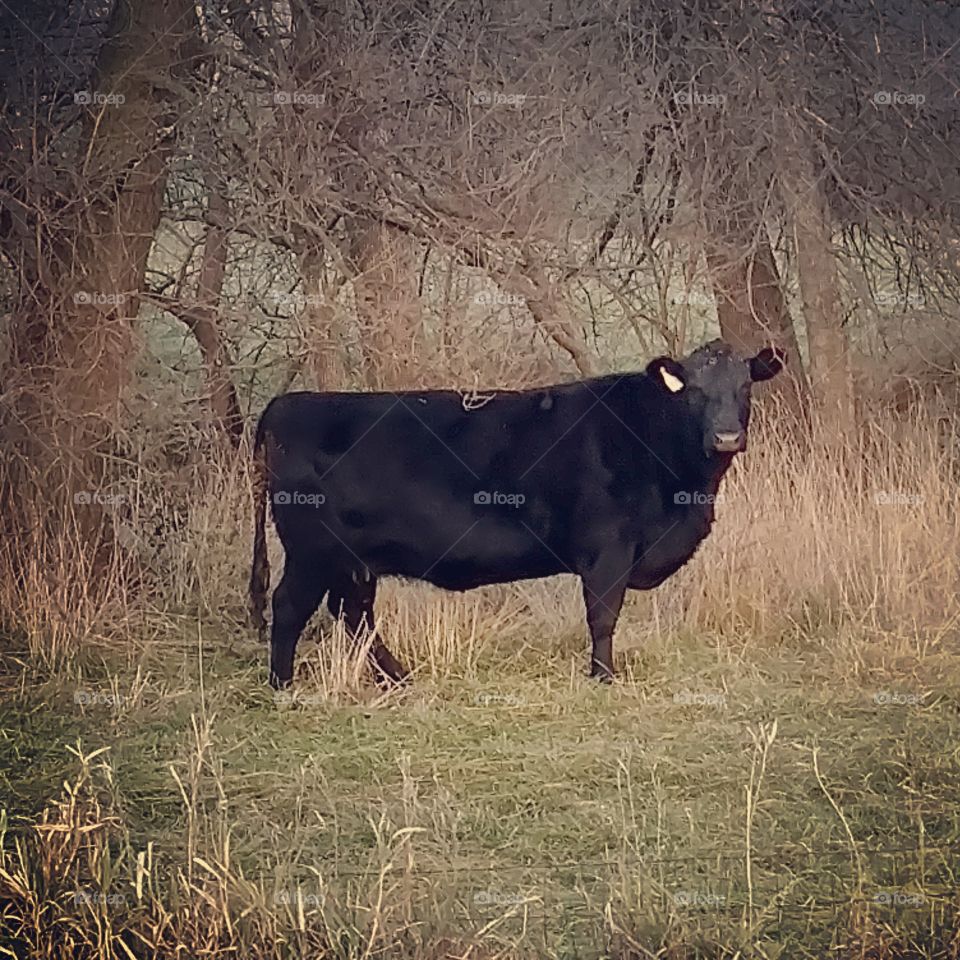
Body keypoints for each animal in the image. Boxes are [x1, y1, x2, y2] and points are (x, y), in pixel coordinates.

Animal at [249, 339, 785, 689]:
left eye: (745, 388)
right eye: (694, 390)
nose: (726, 437)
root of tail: (284, 405)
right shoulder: (608, 547)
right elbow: (603, 615)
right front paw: (603, 676)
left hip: (351, 558)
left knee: (353, 613)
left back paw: (398, 678)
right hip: (313, 551)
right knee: (291, 606)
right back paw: (283, 685)